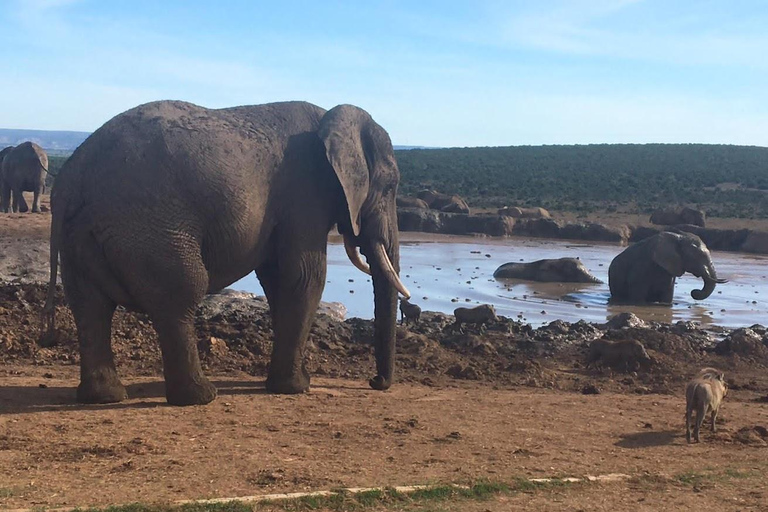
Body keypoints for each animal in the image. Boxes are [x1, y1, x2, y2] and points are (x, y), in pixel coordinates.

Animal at [44, 99, 412, 404]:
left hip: (80, 236)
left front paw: (290, 383)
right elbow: (304, 276)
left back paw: (104, 397)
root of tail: (72, 178)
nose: (375, 382)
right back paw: (201, 396)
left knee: (90, 306)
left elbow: (277, 279)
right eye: (390, 186)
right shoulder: (306, 193)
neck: (331, 117)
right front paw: (295, 388)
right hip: (150, 227)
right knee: (181, 293)